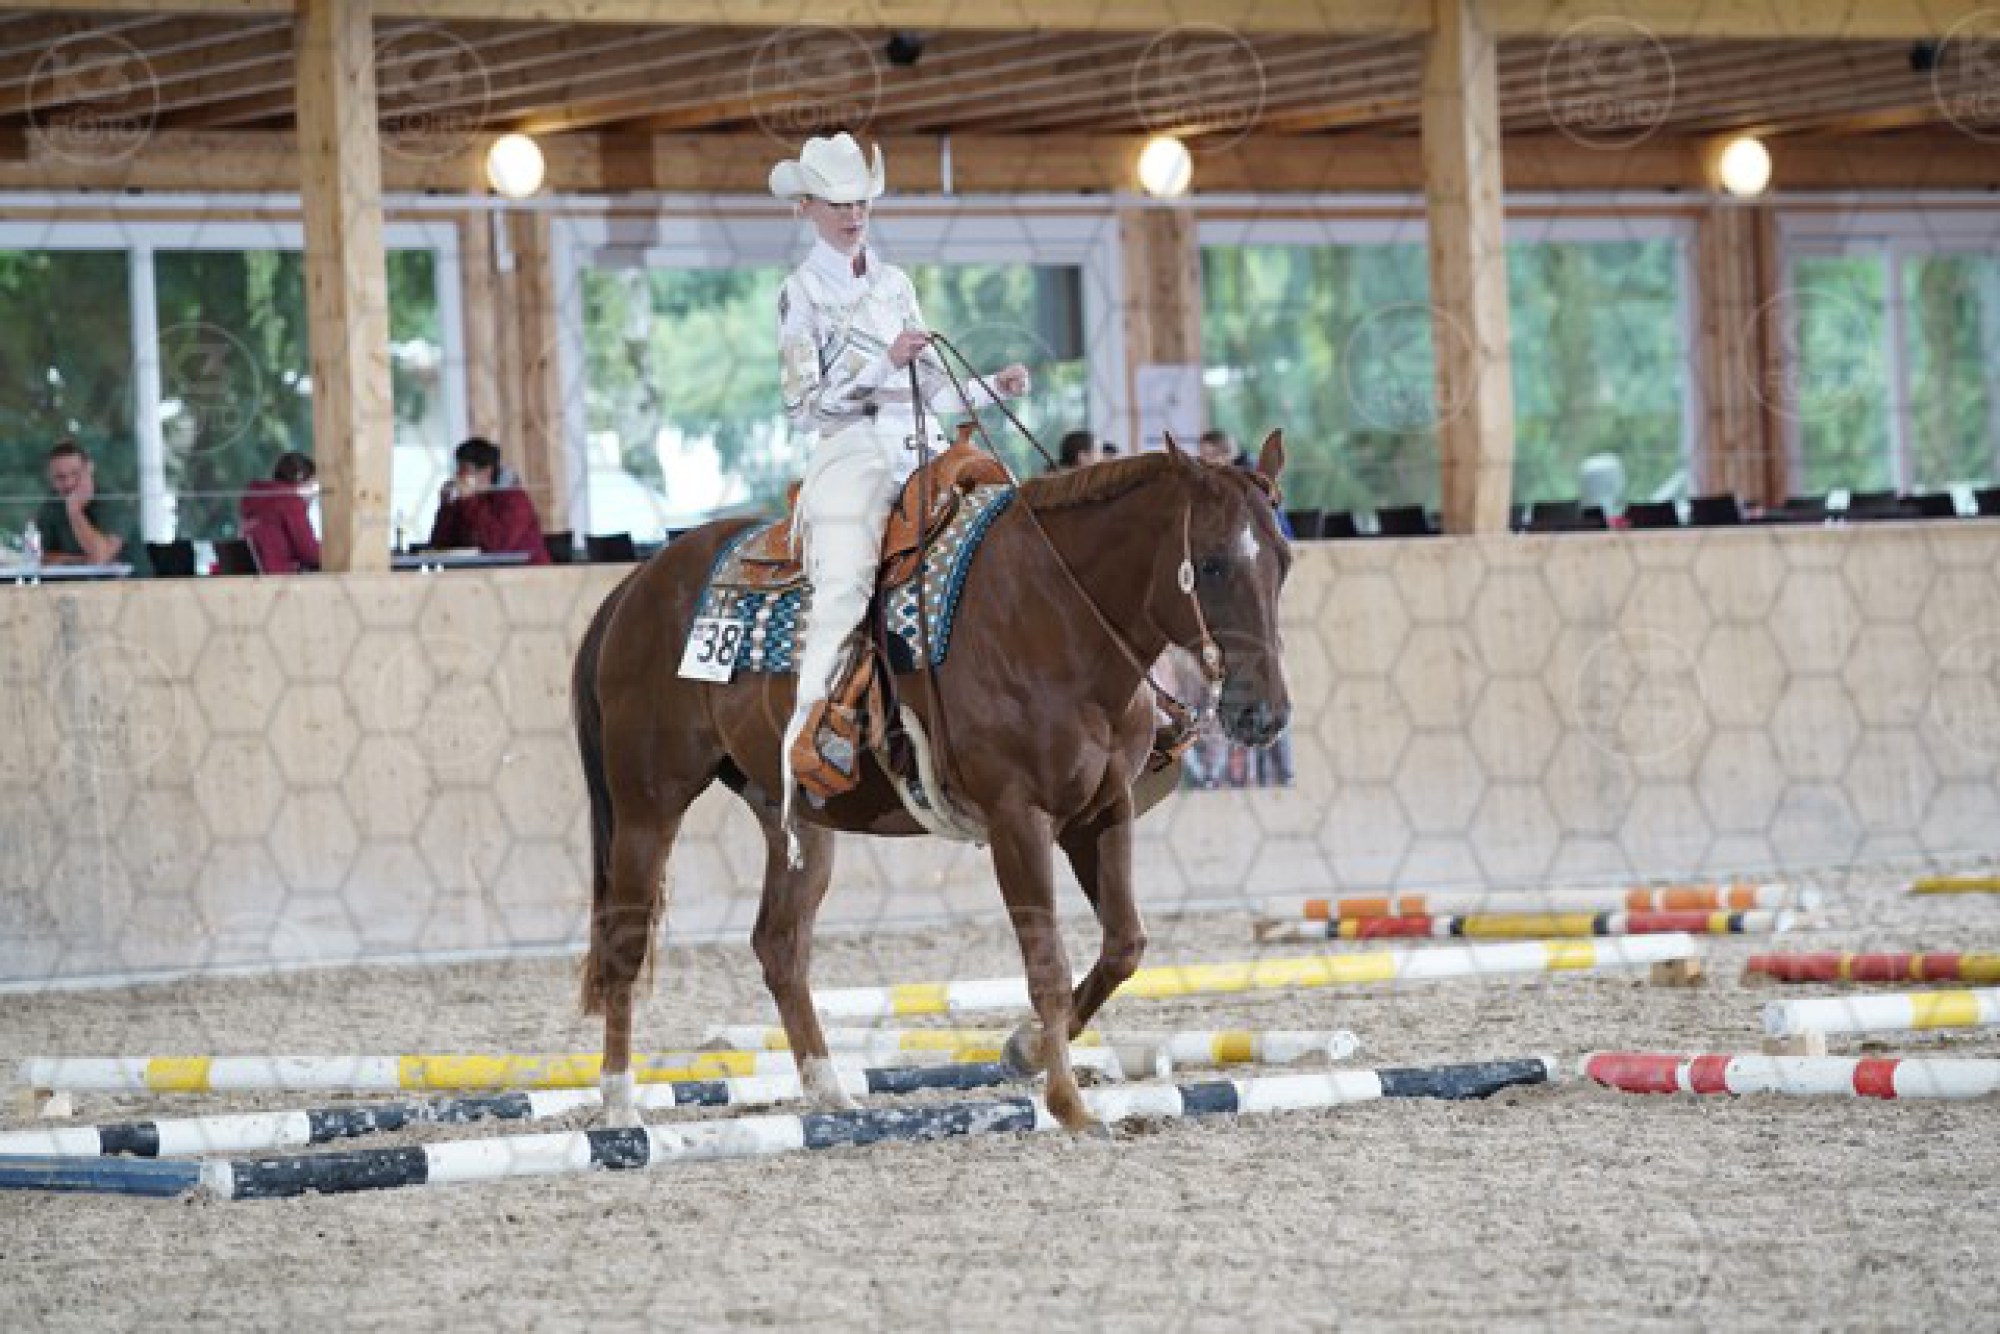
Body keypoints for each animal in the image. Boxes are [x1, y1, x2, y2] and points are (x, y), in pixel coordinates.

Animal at [571, 431, 1293, 1132]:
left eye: (1284, 559)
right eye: (1212, 563)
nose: (1264, 712)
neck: (1053, 616)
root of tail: (635, 587)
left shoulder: (1102, 812)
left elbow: (1123, 946)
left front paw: (1026, 1049)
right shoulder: (1017, 820)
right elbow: (1048, 965)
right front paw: (1068, 1105)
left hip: (794, 818)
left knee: (778, 946)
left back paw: (830, 1093)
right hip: (647, 806)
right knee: (624, 941)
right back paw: (619, 1104)